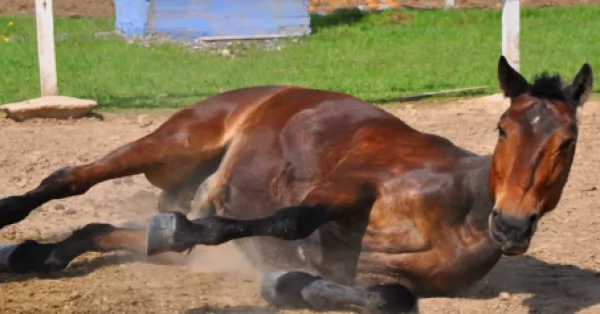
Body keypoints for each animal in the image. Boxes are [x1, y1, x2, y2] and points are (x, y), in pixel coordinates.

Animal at [0, 56, 592, 314]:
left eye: (568, 141)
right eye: (503, 128)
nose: (510, 226)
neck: (458, 209)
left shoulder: (390, 278)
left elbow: (392, 297)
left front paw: (287, 284)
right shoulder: (350, 185)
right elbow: (291, 219)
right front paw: (185, 230)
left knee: (102, 230)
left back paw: (36, 254)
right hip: (174, 146)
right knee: (71, 179)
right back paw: (14, 221)